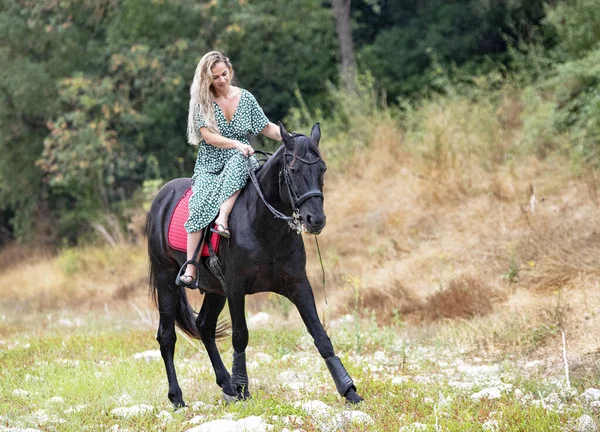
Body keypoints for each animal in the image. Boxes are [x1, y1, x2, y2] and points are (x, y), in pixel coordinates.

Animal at [146, 123, 364, 406]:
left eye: (322, 169)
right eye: (293, 170)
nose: (315, 219)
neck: (263, 226)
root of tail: (161, 198)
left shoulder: (298, 284)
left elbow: (320, 335)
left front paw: (349, 390)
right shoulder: (236, 287)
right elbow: (241, 335)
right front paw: (242, 388)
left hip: (215, 290)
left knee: (204, 326)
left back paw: (225, 384)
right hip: (166, 278)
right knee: (167, 335)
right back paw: (178, 397)